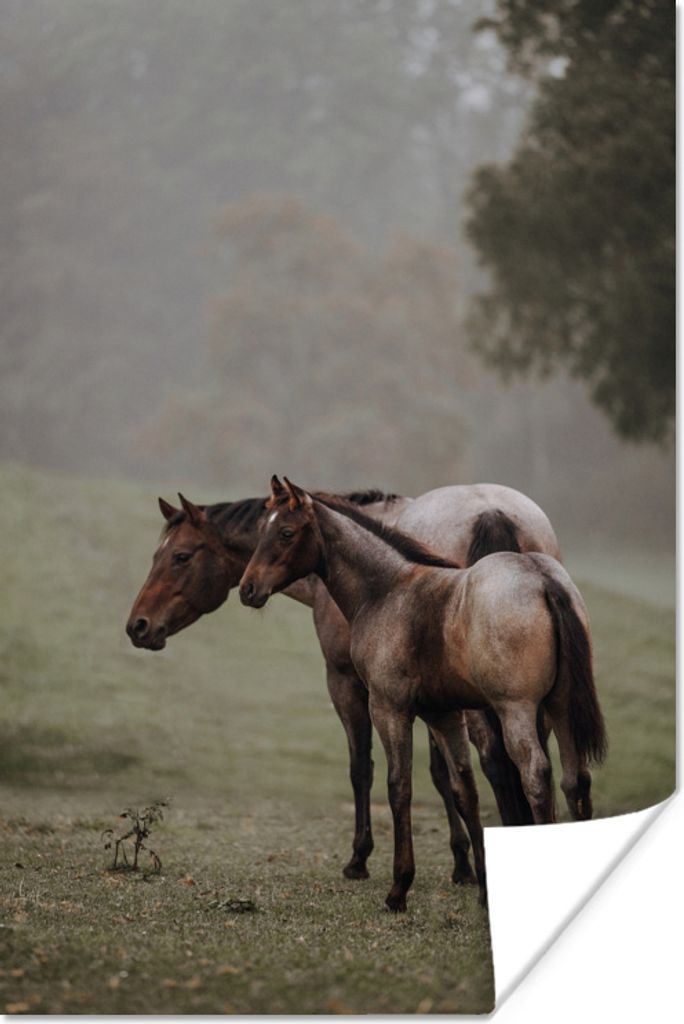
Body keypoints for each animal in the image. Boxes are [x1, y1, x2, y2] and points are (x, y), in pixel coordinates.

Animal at [126, 480, 562, 881]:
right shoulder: (427, 695)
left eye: (181, 557)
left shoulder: (348, 682)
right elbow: (443, 775)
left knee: (498, 761)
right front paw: (462, 862)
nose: (137, 626)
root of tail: (491, 511)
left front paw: (360, 858)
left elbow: (362, 768)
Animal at [239, 477, 607, 912]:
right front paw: (481, 886)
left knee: (535, 774)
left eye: (286, 532)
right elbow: (464, 790)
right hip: (560, 707)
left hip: (515, 709)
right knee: (574, 780)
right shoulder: (442, 714)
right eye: (260, 529)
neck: (387, 591)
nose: (248, 588)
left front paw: (398, 887)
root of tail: (542, 580)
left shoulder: (388, 707)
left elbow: (398, 787)